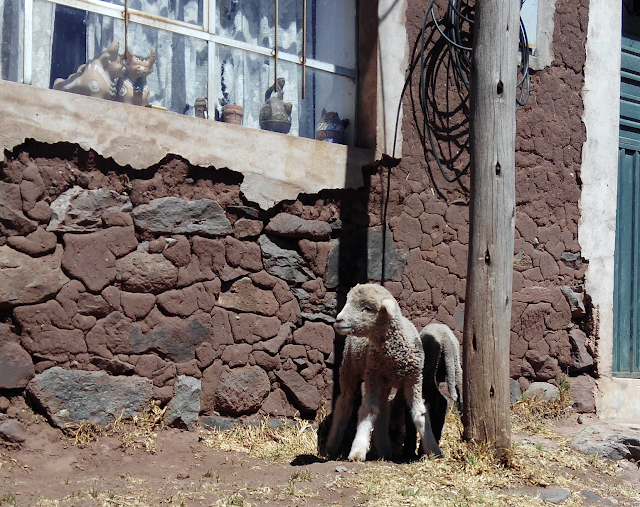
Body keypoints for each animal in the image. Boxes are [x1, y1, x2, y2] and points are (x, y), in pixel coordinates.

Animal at [324, 284, 440, 462]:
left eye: (367, 308)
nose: (338, 320)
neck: (395, 354)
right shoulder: (372, 375)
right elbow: (368, 408)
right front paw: (358, 450)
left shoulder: (414, 379)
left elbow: (419, 412)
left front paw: (434, 450)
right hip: (350, 369)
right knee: (344, 403)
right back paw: (331, 446)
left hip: (383, 381)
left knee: (383, 407)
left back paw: (384, 449)